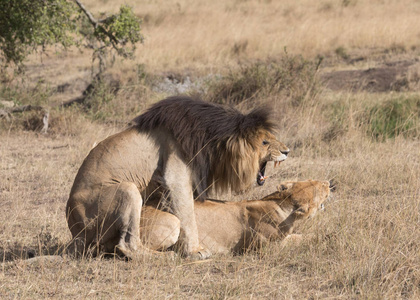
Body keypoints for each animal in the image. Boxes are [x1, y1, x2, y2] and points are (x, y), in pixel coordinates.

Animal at [65, 97, 290, 258]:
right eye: (264, 142)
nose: (287, 151)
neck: (212, 141)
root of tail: (74, 229)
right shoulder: (176, 175)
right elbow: (188, 215)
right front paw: (196, 251)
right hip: (126, 190)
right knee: (128, 246)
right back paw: (165, 257)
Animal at [141, 180, 332, 253]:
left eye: (312, 180)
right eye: (319, 189)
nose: (328, 183)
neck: (281, 205)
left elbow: (298, 235)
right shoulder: (265, 247)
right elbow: (297, 239)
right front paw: (322, 238)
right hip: (173, 221)